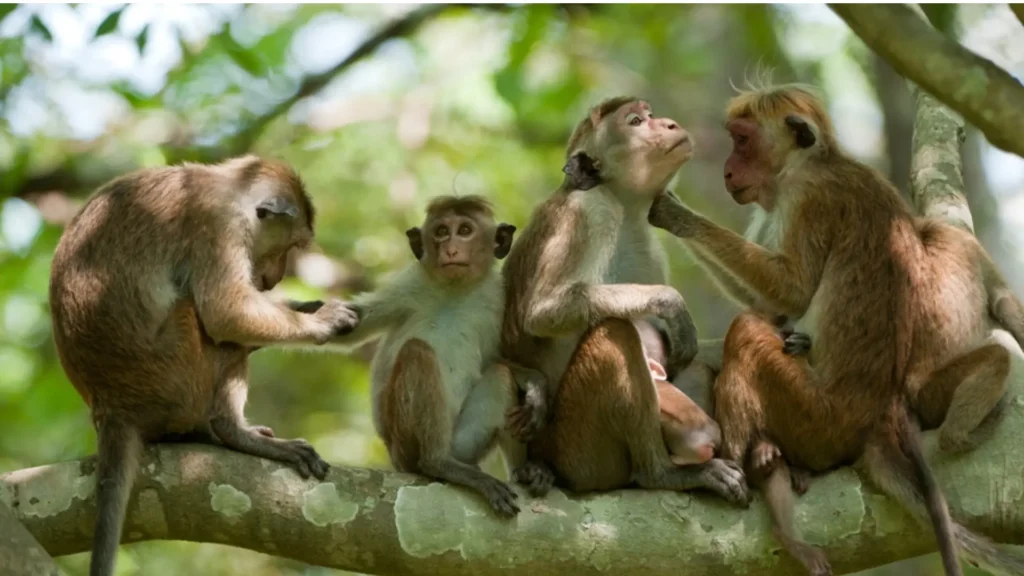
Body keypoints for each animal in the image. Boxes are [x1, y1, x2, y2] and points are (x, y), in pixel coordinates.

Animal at [48, 155, 361, 576]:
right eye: (292, 245)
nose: (274, 277)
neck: (228, 186)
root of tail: (112, 408)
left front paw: (305, 307)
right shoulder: (216, 230)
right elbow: (226, 313)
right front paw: (320, 321)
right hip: (176, 375)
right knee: (202, 318)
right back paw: (232, 432)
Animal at [325, 195, 553, 516]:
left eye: (465, 230)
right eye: (442, 231)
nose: (451, 249)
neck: (455, 289)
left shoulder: (497, 297)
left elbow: (495, 359)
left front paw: (535, 385)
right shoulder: (409, 284)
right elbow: (349, 327)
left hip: (463, 444)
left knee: (500, 376)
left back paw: (522, 472)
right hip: (404, 445)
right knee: (416, 351)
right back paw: (438, 464)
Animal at [499, 96, 748, 504]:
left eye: (651, 115)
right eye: (635, 122)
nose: (669, 124)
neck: (622, 206)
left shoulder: (647, 246)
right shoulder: (586, 214)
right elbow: (542, 312)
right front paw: (670, 303)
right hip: (578, 450)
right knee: (614, 333)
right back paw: (661, 474)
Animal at [646, 84, 1024, 576]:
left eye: (743, 140)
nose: (728, 170)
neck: (814, 161)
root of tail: (876, 418)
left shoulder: (807, 196)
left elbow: (790, 292)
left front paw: (674, 213)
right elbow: (772, 304)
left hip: (819, 417)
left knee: (748, 333)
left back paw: (757, 468)